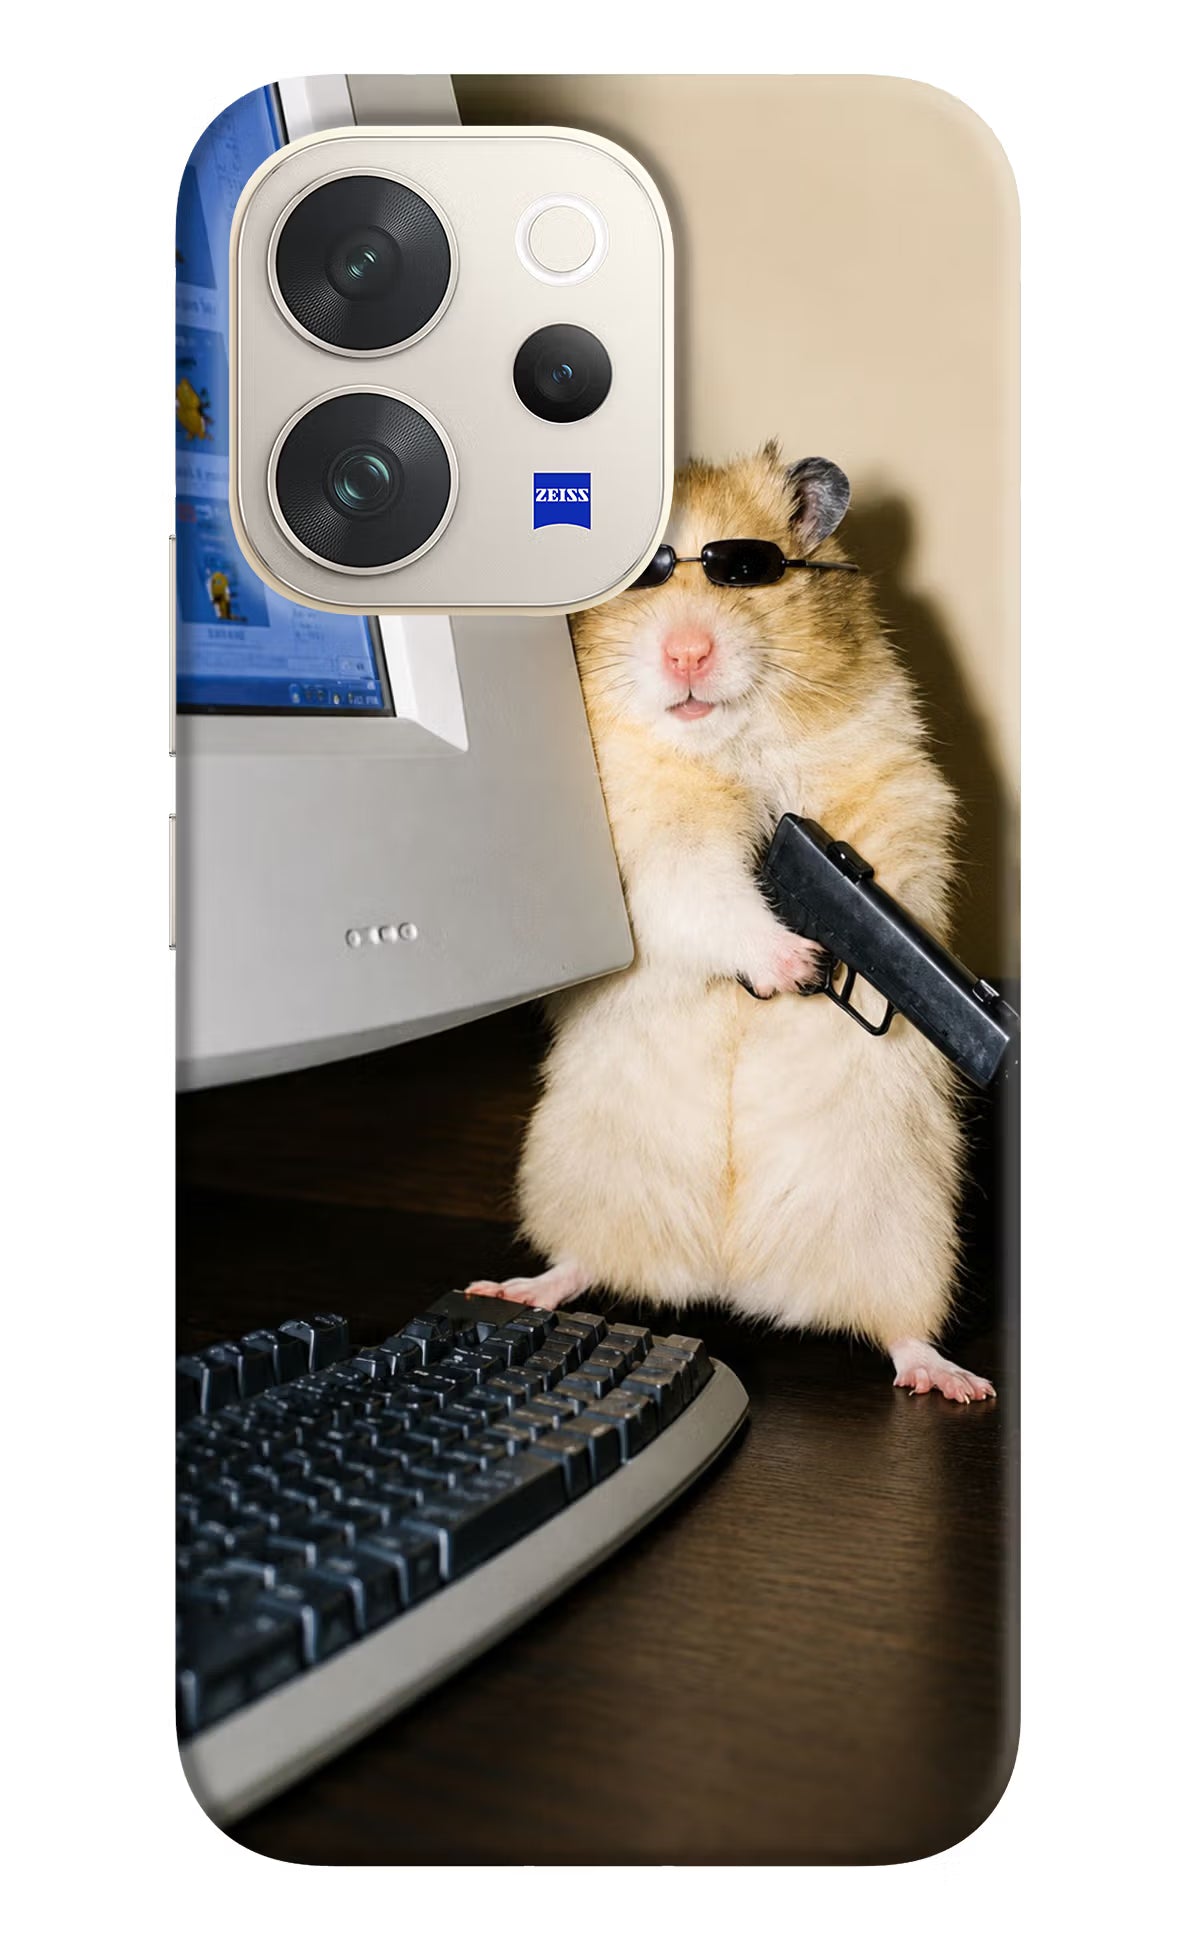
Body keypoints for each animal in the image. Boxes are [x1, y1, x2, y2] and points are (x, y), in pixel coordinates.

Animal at [469, 444, 994, 1402]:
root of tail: (730, 1276)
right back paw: (515, 1288)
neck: (727, 747)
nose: (687, 652)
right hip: (578, 1176)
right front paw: (797, 964)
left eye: (746, 571)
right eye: (641, 577)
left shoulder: (896, 790)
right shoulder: (649, 852)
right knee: (582, 1263)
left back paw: (954, 1381)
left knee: (900, 1329)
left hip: (908, 1229)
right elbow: (708, 895)